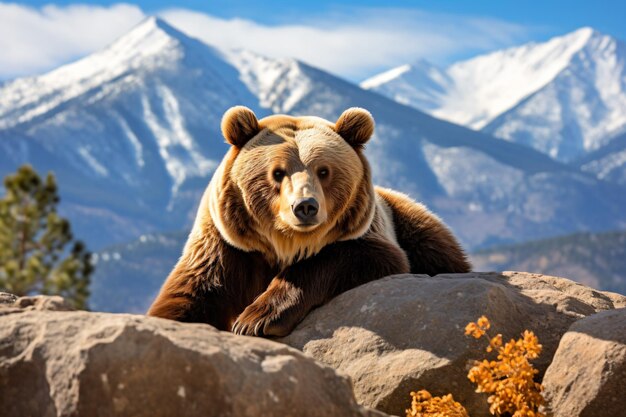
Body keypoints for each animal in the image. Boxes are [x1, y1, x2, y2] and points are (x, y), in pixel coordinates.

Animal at [146, 105, 468, 336]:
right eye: (277, 172)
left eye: (324, 171)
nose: (305, 206)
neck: (285, 243)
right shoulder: (227, 248)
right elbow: (190, 296)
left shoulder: (367, 236)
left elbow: (348, 258)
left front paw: (257, 318)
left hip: (410, 219)